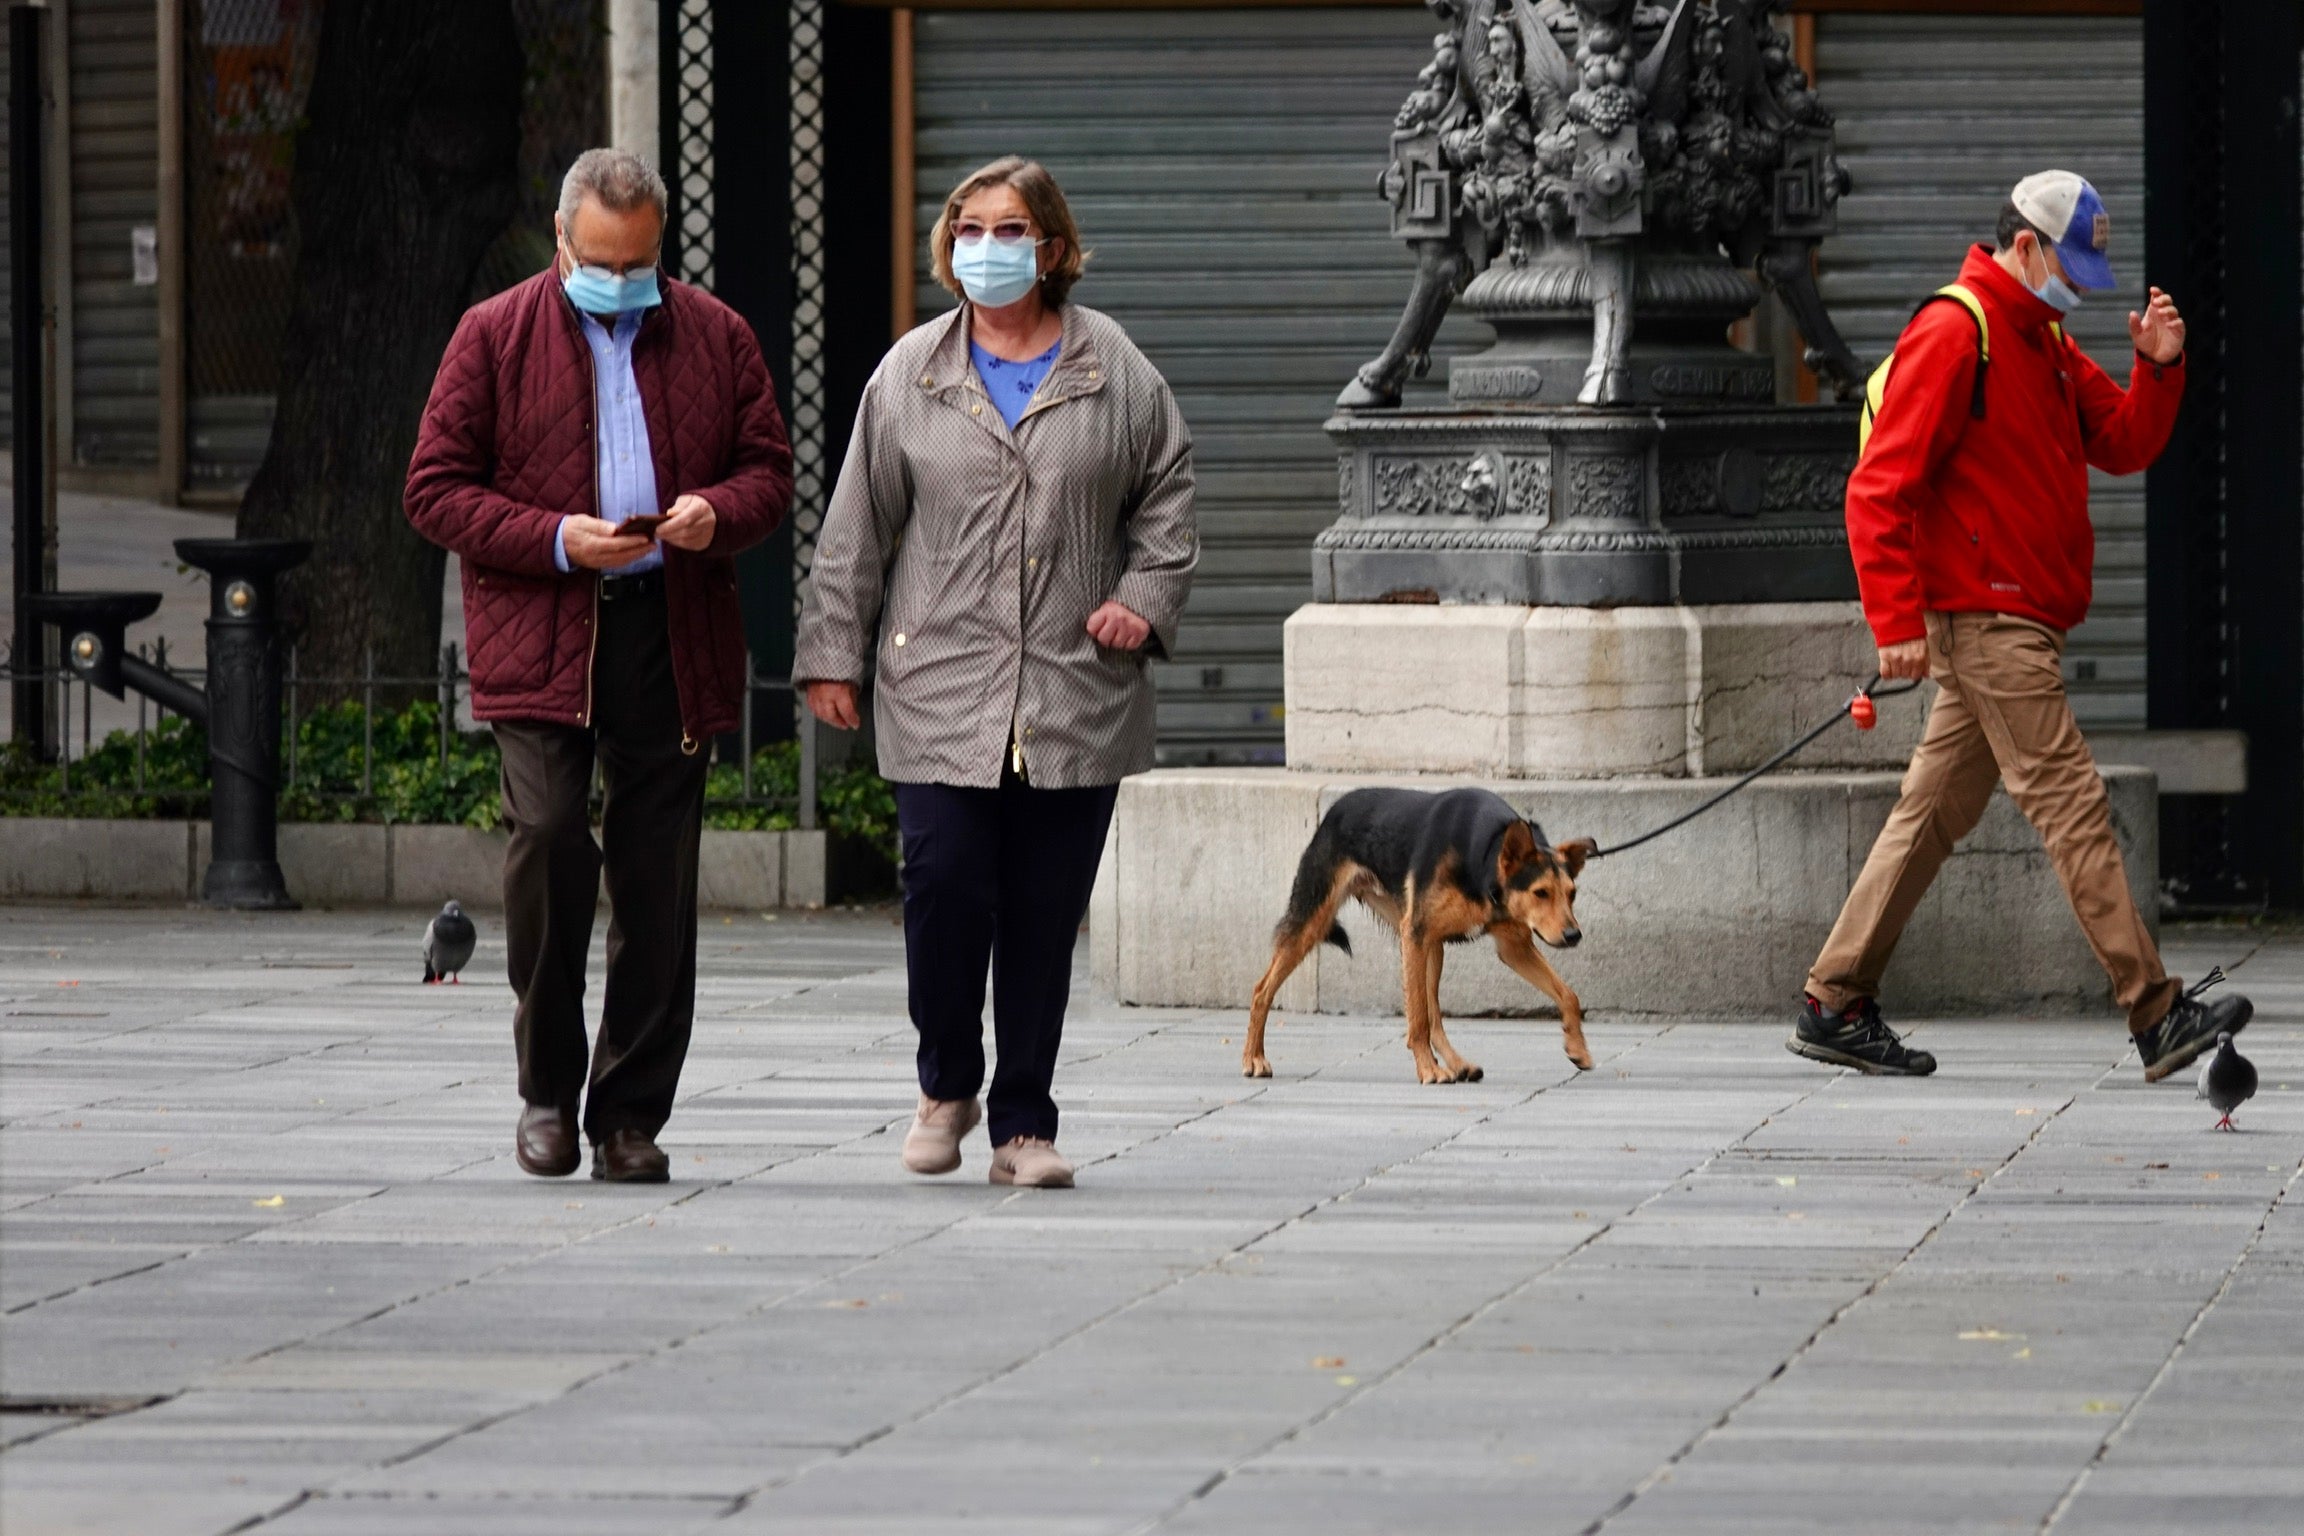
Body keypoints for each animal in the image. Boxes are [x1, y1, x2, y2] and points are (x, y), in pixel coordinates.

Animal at [1244, 787, 1603, 1086]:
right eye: (1540, 893)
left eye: (1572, 894)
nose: (1573, 935)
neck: (1483, 853)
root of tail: (1335, 809)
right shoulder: (1415, 935)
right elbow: (1417, 1019)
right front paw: (1428, 1070)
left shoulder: (1514, 947)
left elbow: (1568, 995)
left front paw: (1577, 1047)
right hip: (1316, 923)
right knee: (1262, 990)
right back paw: (1254, 1058)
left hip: (1430, 947)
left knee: (1435, 1016)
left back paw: (1458, 1064)